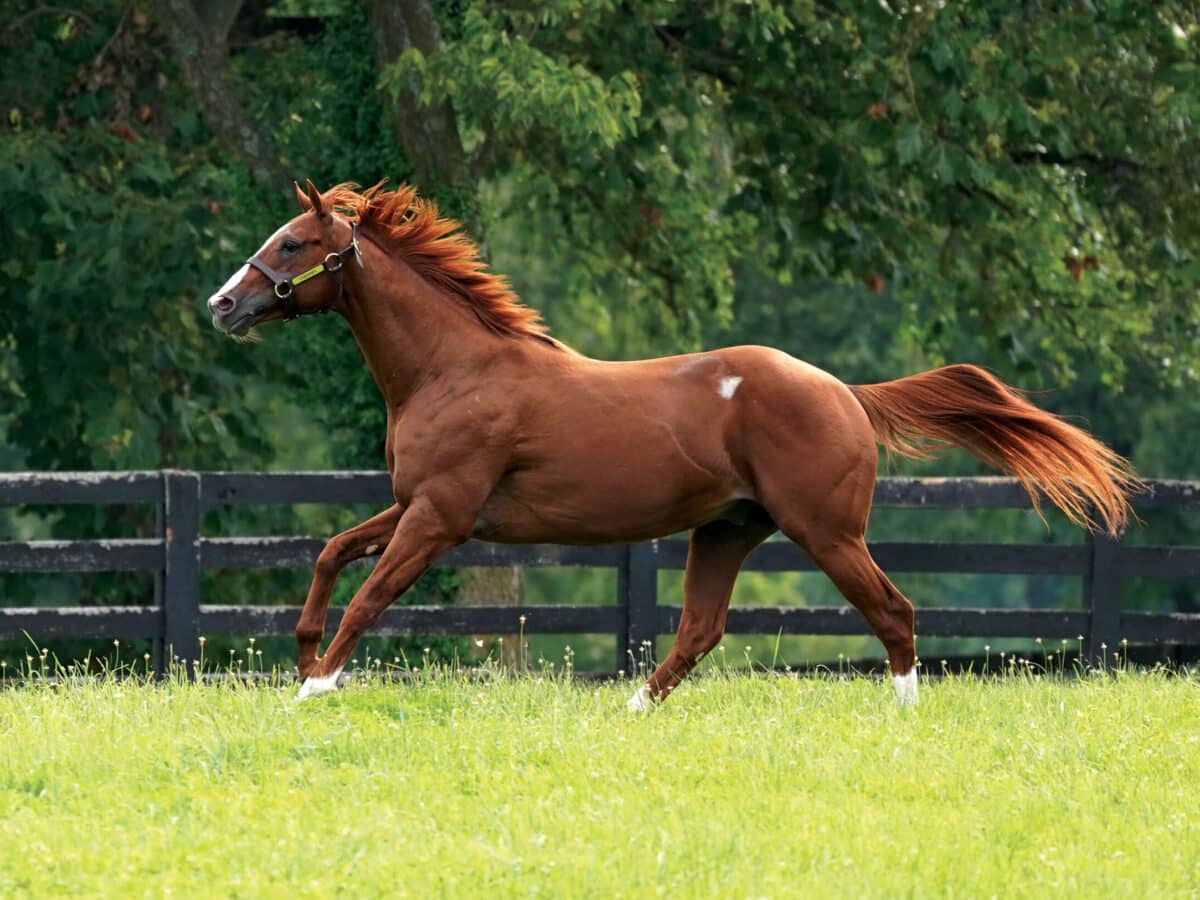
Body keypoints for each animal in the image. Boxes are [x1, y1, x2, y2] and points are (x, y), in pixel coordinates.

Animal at [206, 180, 1138, 709]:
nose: (222, 304)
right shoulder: (415, 505)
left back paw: (903, 716)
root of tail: (845, 392)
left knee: (893, 612)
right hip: (725, 530)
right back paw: (628, 713)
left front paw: (313, 689)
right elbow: (332, 553)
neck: (454, 367)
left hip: (826, 532)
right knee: (699, 631)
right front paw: (301, 659)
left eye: (293, 242)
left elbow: (371, 596)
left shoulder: (440, 517)